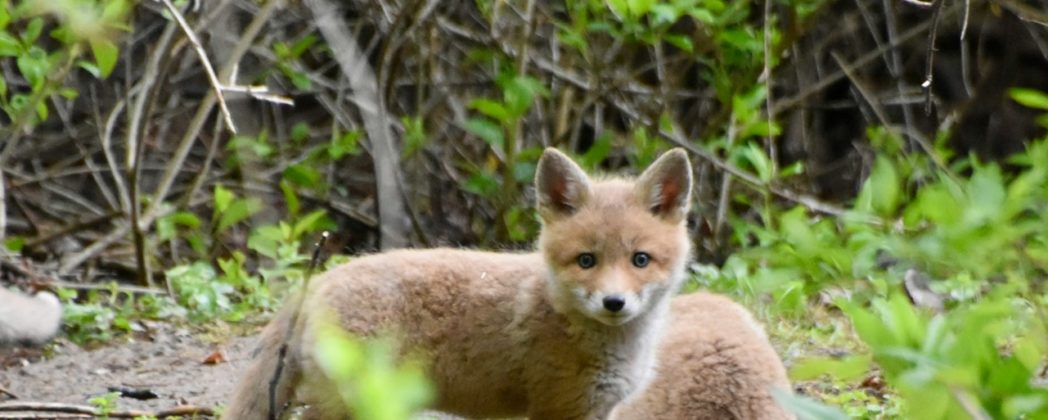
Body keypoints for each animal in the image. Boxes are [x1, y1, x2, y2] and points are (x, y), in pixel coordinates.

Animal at [223, 147, 694, 420]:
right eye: (586, 261)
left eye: (640, 260)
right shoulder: (558, 407)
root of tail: (323, 279)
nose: (614, 303)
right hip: (355, 403)